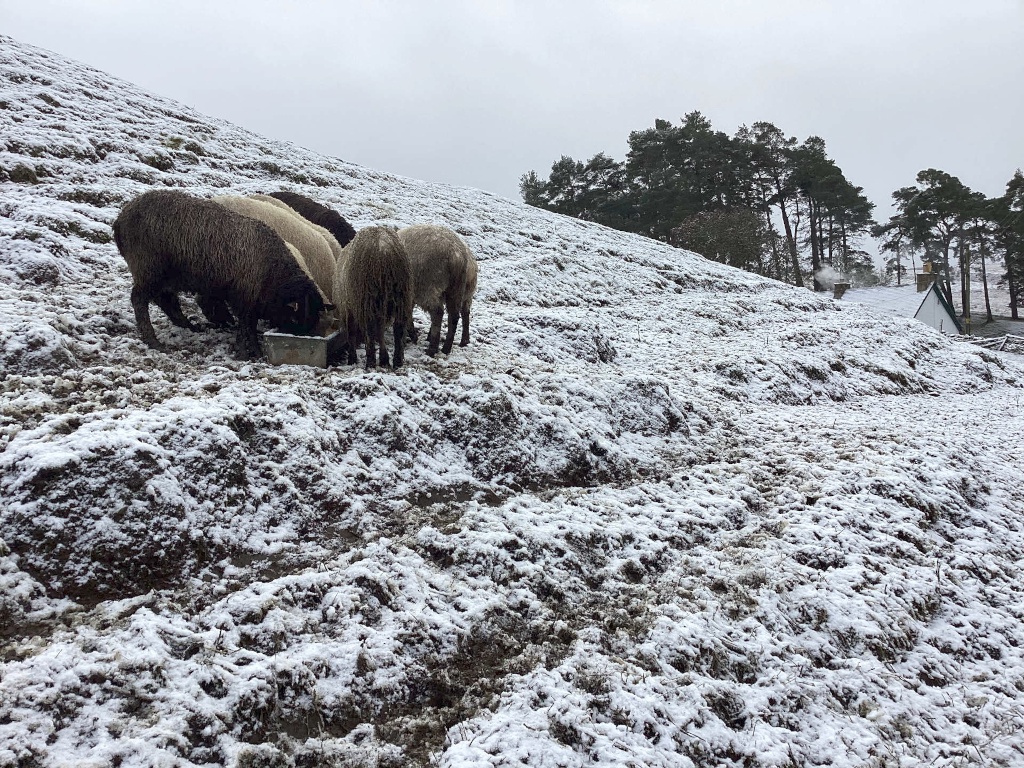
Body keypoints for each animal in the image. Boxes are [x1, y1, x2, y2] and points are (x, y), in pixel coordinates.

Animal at [112, 189, 326, 360]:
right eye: (295, 318)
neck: (273, 272)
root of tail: (121, 219)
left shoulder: (251, 299)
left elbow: (249, 326)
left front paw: (253, 351)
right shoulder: (244, 296)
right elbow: (246, 326)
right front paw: (246, 352)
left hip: (166, 275)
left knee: (166, 300)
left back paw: (189, 326)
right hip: (148, 267)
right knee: (140, 300)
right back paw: (153, 340)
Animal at [333, 225, 413, 369]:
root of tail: (385, 251)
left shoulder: (349, 307)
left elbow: (352, 332)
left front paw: (352, 359)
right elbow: (379, 331)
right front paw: (384, 359)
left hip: (367, 297)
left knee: (370, 329)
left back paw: (370, 362)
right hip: (401, 296)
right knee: (398, 328)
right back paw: (397, 361)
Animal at [397, 224, 477, 356]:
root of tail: (457, 255)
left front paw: (411, 336)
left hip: (428, 286)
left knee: (438, 312)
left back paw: (432, 348)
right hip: (458, 290)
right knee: (458, 314)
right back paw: (453, 345)